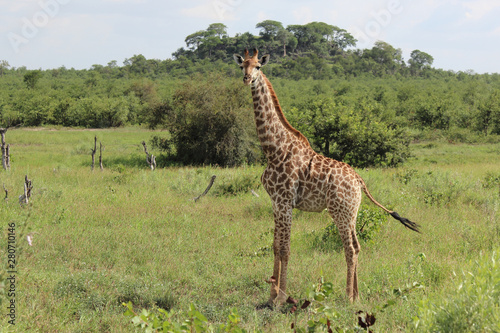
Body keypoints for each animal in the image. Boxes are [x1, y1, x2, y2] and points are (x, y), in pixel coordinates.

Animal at [232, 48, 420, 304]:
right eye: (242, 65)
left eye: (258, 67)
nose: (247, 79)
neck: (273, 149)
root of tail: (359, 180)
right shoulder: (276, 202)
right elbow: (275, 246)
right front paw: (271, 298)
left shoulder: (285, 201)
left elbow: (285, 248)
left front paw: (281, 298)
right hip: (351, 212)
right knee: (357, 246)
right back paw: (357, 295)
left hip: (340, 211)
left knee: (349, 248)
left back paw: (348, 297)